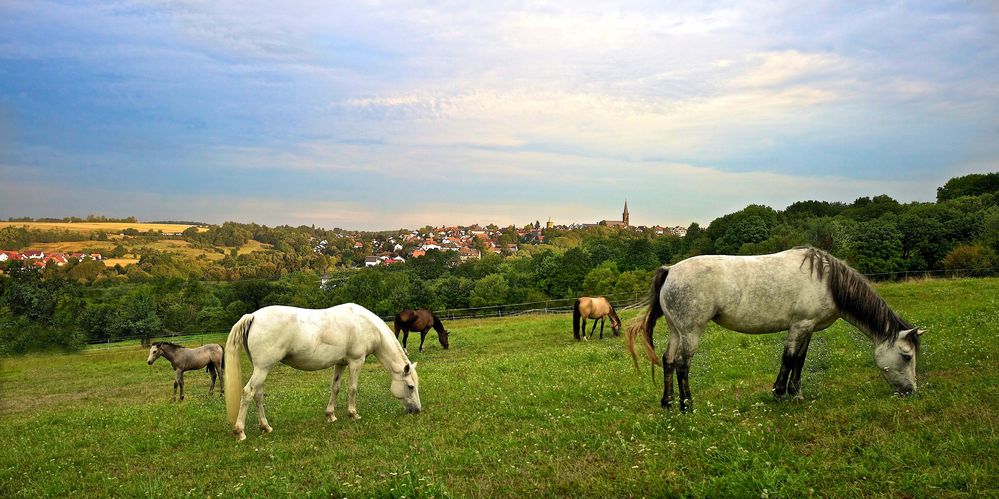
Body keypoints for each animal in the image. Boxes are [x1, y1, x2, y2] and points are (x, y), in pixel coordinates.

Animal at [223, 304, 422, 442]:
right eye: (410, 386)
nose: (417, 410)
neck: (365, 325)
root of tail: (253, 316)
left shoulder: (340, 363)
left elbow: (335, 388)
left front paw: (331, 415)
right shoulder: (356, 361)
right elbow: (352, 388)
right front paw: (353, 414)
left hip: (261, 370)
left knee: (258, 395)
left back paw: (266, 427)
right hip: (262, 368)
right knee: (248, 393)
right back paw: (240, 432)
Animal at [628, 248, 924, 412]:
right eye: (907, 356)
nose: (911, 391)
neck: (827, 280)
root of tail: (671, 270)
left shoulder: (808, 328)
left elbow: (800, 361)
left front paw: (796, 393)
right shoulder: (800, 325)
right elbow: (789, 358)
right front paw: (779, 392)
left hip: (676, 330)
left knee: (667, 361)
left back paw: (667, 403)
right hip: (690, 332)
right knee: (681, 365)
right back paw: (687, 406)